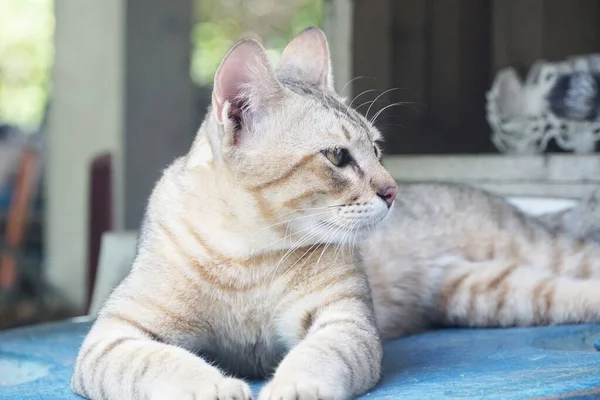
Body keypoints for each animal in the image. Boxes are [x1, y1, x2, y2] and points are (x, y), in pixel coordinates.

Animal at [71, 28, 600, 400]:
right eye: (338, 157)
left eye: (377, 149)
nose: (392, 191)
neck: (249, 258)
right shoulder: (115, 336)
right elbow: (161, 363)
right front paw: (213, 385)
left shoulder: (344, 321)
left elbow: (318, 356)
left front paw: (294, 386)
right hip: (492, 294)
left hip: (535, 256)